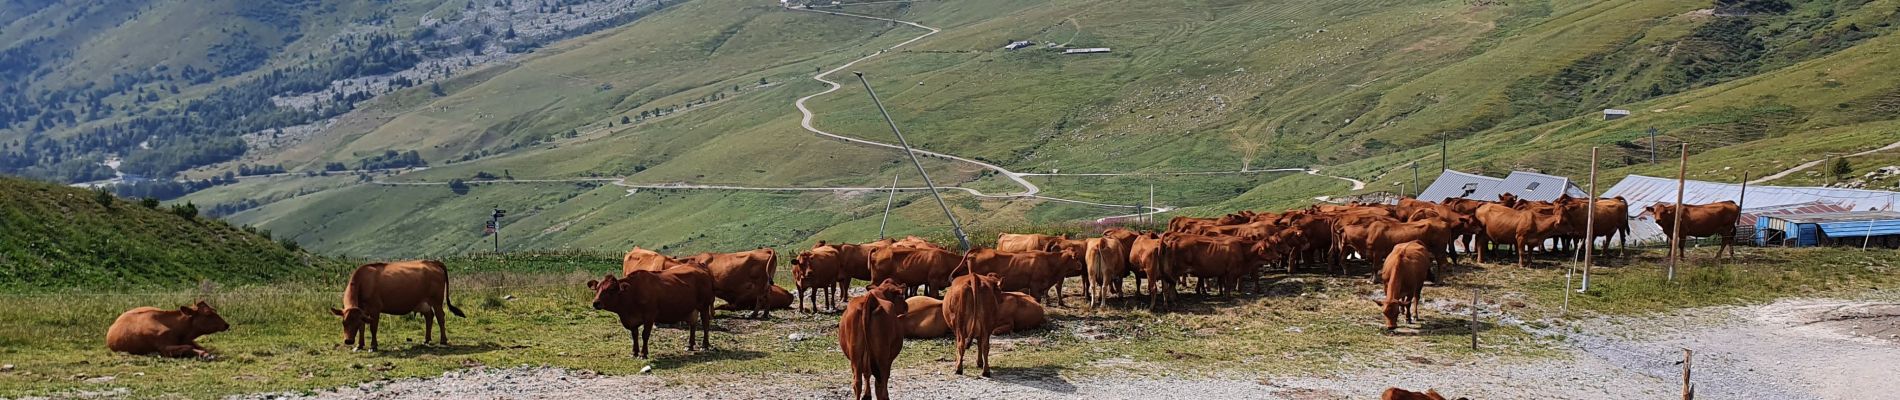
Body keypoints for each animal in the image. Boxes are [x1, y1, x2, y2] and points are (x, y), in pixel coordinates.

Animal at [328, 259, 465, 350]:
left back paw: (443, 341)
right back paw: (426, 340)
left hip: (436, 301)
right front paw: (359, 345)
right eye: (343, 322)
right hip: (424, 303)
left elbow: (373, 328)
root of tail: (433, 262)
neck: (363, 282)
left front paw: (373, 346)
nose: (348, 341)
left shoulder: (375, 309)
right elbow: (362, 327)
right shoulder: (362, 310)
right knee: (429, 317)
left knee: (440, 317)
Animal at [585, 265, 714, 360]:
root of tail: (699, 267)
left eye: (611, 289)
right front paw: (634, 353)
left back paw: (705, 345)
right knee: (693, 325)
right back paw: (690, 345)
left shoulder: (649, 316)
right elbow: (634, 335)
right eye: (597, 288)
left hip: (704, 305)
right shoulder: (632, 320)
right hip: (692, 308)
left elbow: (645, 335)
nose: (596, 303)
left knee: (705, 324)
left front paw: (643, 354)